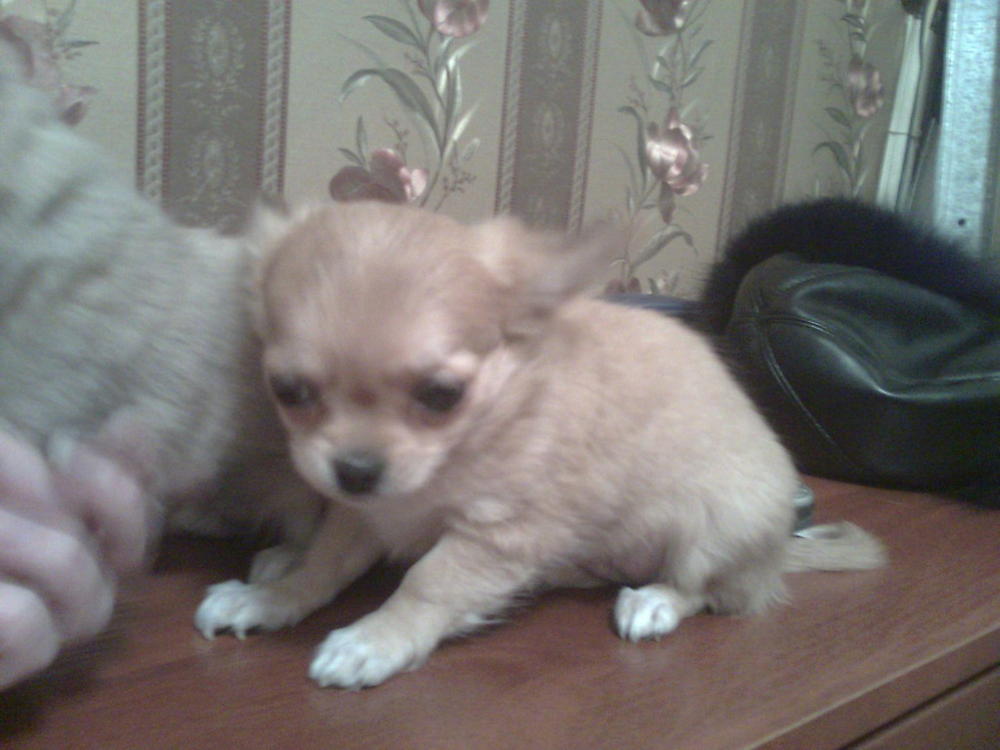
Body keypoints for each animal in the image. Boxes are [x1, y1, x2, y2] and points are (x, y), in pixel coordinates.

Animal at [194, 201, 885, 689]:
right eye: (288, 391)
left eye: (441, 395)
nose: (356, 469)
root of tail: (777, 552)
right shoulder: (364, 514)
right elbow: (323, 564)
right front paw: (273, 599)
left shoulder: (500, 535)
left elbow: (428, 581)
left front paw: (376, 640)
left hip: (717, 527)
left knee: (706, 590)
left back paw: (656, 602)